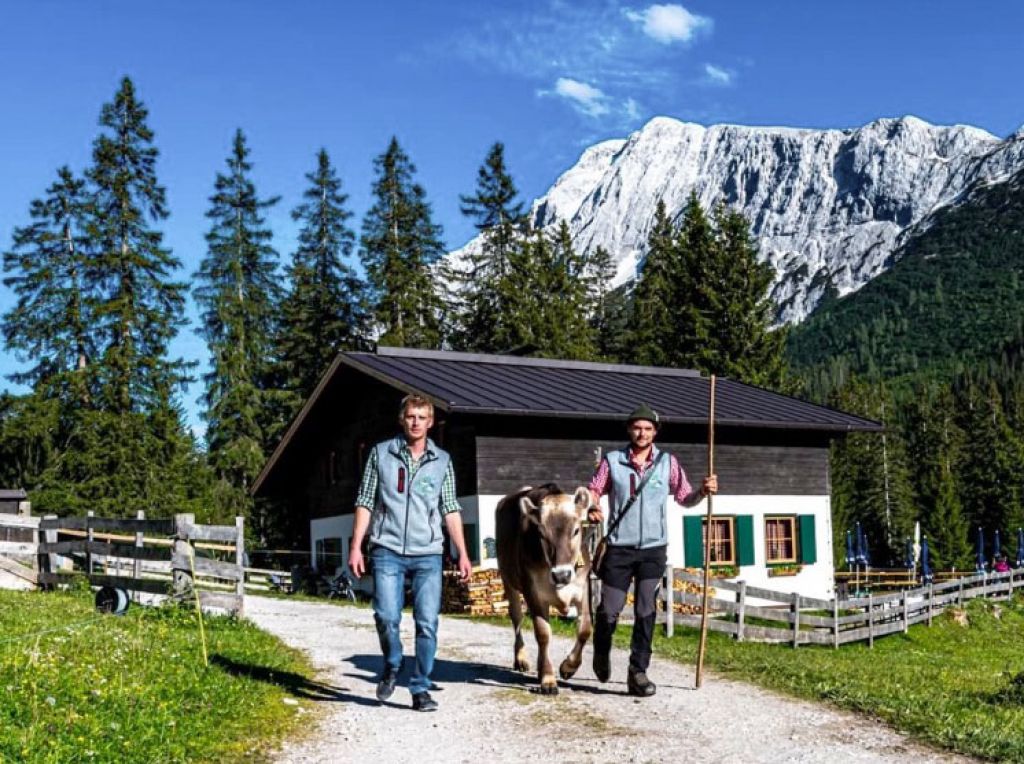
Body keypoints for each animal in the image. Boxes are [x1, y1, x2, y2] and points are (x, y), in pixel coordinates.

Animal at [495, 485, 593, 692]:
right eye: (541, 533)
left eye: (576, 530)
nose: (561, 575)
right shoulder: (533, 593)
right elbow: (542, 633)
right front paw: (548, 679)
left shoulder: (582, 589)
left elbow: (585, 630)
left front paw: (568, 667)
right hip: (508, 579)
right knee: (517, 617)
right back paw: (521, 659)